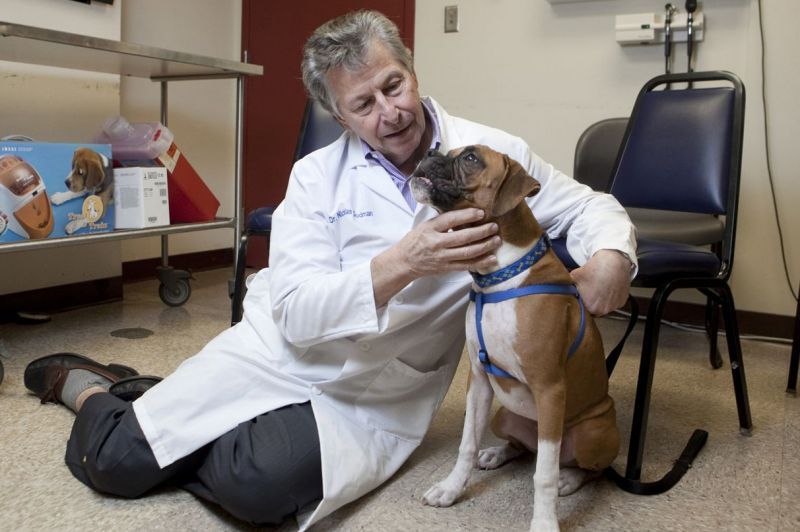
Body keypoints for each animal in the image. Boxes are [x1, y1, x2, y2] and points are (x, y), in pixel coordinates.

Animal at [412, 145, 620, 532]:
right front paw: (452, 488)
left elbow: (544, 475)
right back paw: (496, 453)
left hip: (591, 433)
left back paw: (570, 478)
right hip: (504, 415)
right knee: (525, 448)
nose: (430, 150)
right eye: (445, 150)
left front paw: (544, 522)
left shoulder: (550, 389)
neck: (501, 275)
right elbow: (466, 443)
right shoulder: (479, 382)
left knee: (585, 468)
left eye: (471, 158)